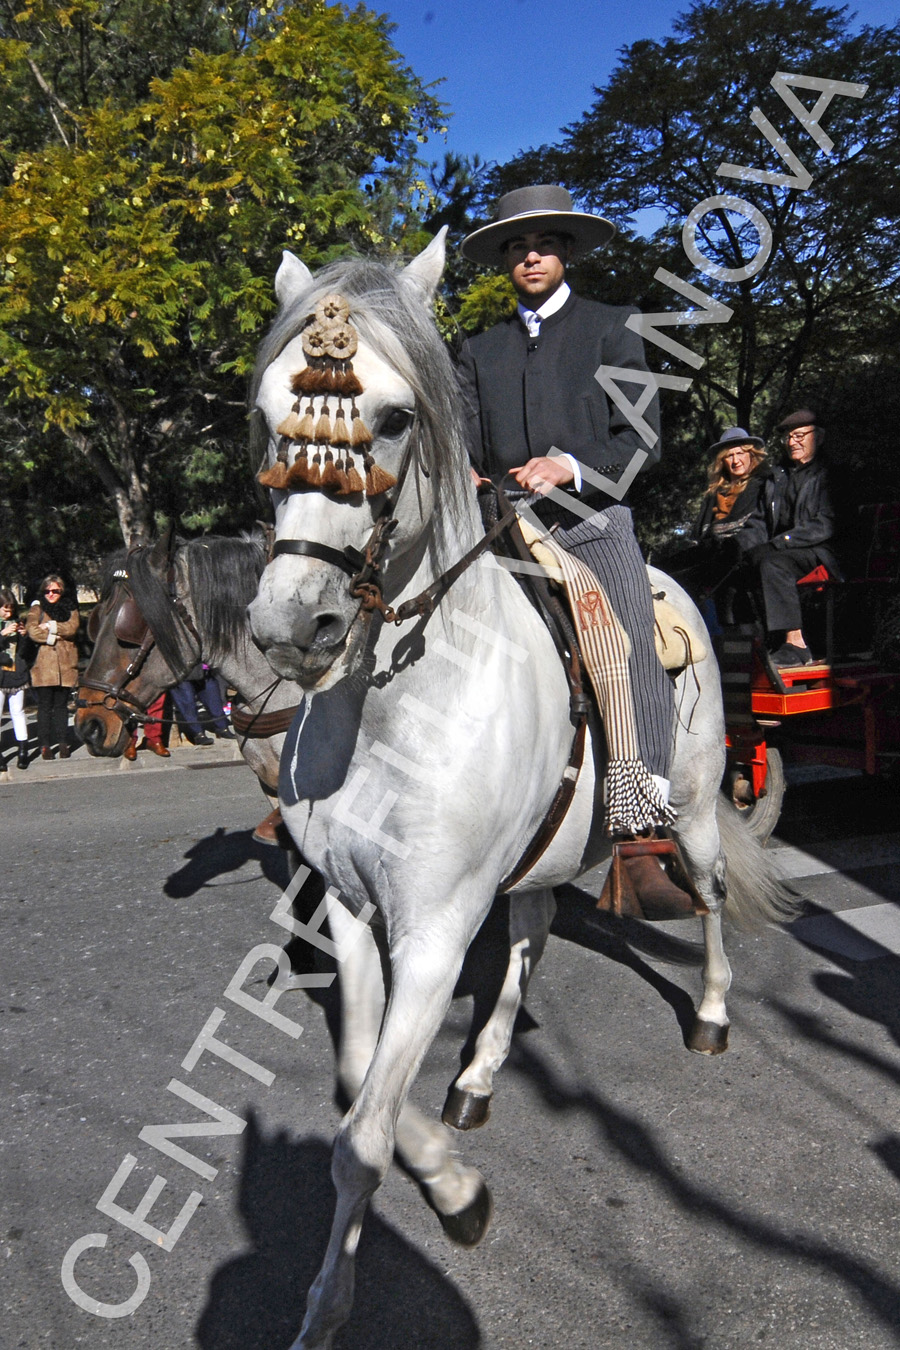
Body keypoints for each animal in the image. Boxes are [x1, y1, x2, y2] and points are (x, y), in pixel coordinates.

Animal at [246, 234, 788, 1350]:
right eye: (273, 412)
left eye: (393, 418)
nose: (291, 625)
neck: (394, 708)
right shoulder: (359, 915)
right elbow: (361, 1091)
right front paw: (422, 1191)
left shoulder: (436, 928)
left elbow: (361, 1139)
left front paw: (438, 1212)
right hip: (543, 854)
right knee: (534, 927)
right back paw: (480, 1072)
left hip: (695, 811)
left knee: (711, 896)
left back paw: (713, 1014)